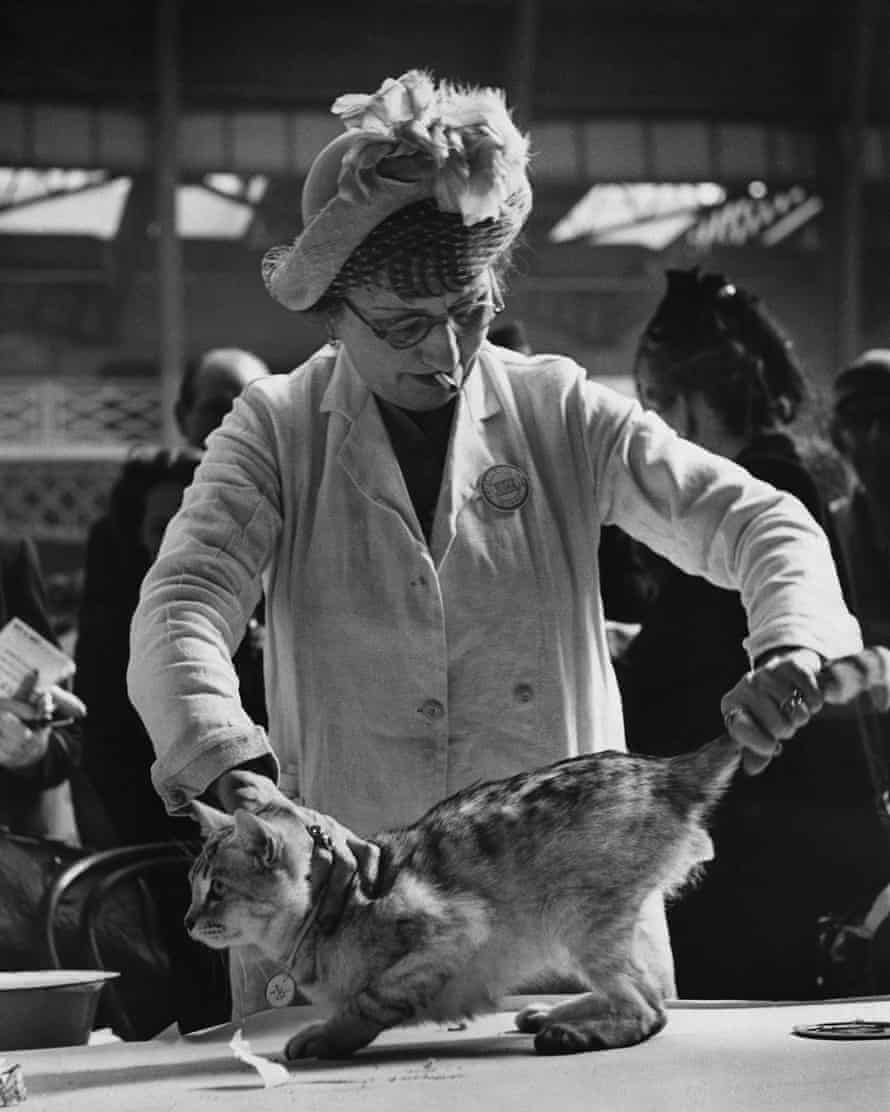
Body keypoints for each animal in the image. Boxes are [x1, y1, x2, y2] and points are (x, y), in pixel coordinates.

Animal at [185, 649, 889, 1063]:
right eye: (192, 889)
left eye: (215, 889)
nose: (189, 923)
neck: (326, 916)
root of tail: (663, 769)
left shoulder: (454, 929)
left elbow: (370, 1000)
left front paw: (324, 1037)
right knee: (641, 993)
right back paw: (553, 1012)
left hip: (579, 916)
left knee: (649, 1008)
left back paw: (573, 1030)